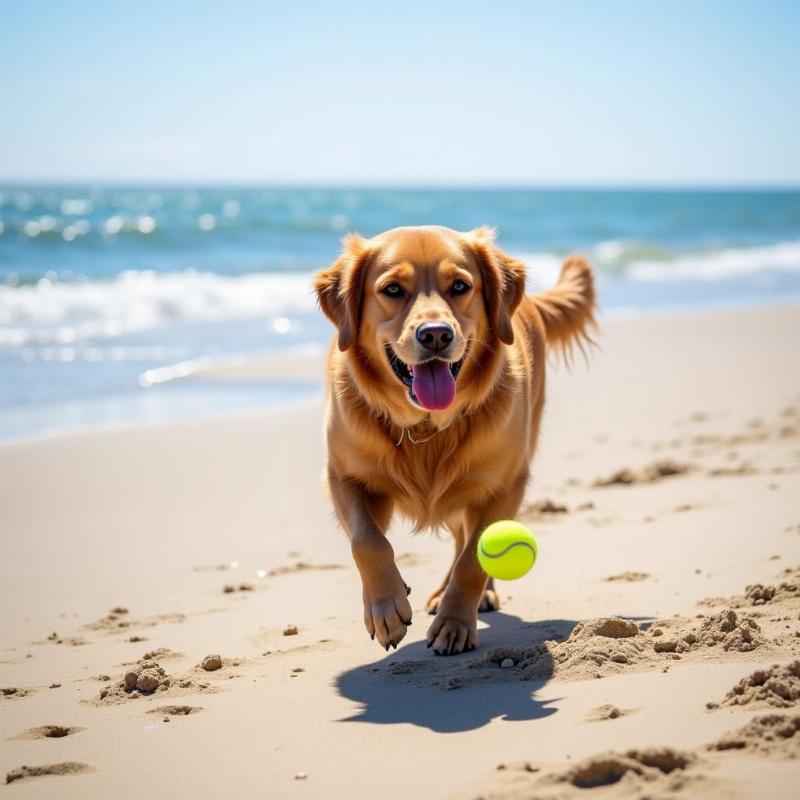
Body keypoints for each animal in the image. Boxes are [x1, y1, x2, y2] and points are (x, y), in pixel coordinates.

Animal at [312, 225, 592, 656]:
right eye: (392, 289)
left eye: (460, 286)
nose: (436, 334)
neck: (425, 427)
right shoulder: (343, 476)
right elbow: (367, 540)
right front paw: (386, 608)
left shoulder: (504, 485)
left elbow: (472, 560)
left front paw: (456, 622)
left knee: (465, 541)